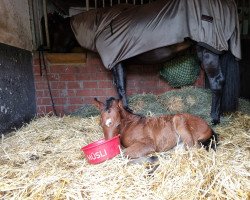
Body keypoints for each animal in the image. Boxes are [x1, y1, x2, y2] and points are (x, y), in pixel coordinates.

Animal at [47, 0, 240, 124]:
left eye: (56, 30)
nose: (54, 50)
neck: (101, 26)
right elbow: (121, 86)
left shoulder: (116, 62)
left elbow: (120, 87)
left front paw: (127, 111)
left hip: (209, 52)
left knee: (217, 83)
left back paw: (214, 118)